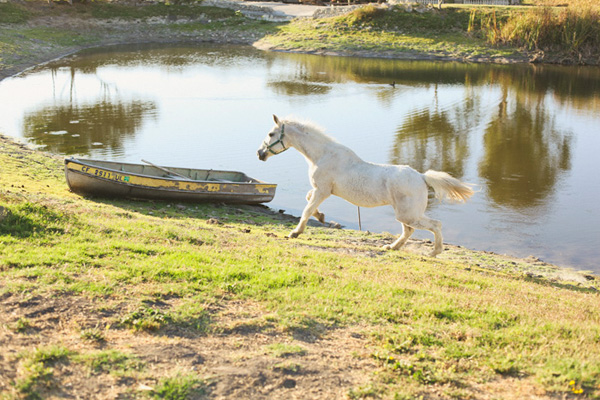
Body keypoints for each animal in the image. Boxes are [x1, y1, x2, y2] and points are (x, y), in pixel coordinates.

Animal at [256, 115, 474, 256]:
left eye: (271, 133)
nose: (260, 154)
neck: (323, 155)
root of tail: (421, 177)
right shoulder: (321, 190)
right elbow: (309, 201)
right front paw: (321, 216)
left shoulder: (323, 190)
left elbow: (307, 209)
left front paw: (295, 232)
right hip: (404, 214)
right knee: (408, 231)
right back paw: (391, 248)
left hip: (408, 214)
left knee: (435, 225)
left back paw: (434, 252)